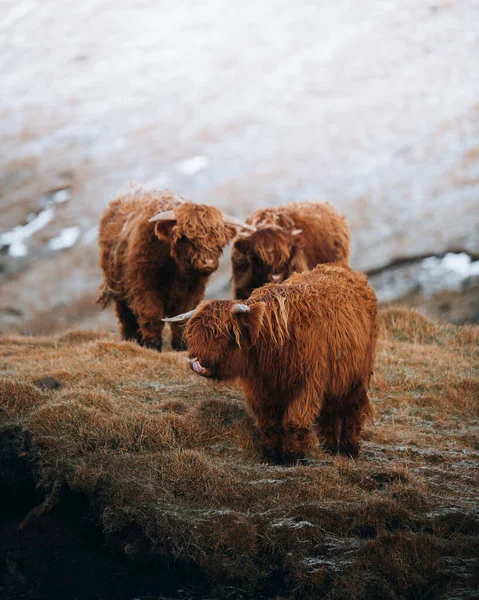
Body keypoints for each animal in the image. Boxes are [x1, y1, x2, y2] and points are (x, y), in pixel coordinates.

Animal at [95, 186, 249, 352]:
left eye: (218, 239)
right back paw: (129, 339)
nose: (207, 262)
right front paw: (152, 345)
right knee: (125, 314)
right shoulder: (143, 285)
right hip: (117, 286)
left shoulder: (192, 290)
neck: (176, 270)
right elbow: (152, 315)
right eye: (184, 238)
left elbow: (183, 315)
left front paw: (182, 345)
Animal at [165, 262, 378, 464]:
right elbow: (268, 423)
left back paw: (349, 450)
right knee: (330, 413)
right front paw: (271, 455)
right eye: (193, 334)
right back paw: (330, 449)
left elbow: (294, 421)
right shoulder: (260, 388)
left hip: (358, 378)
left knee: (354, 411)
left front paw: (293, 457)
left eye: (220, 333)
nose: (195, 362)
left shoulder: (306, 384)